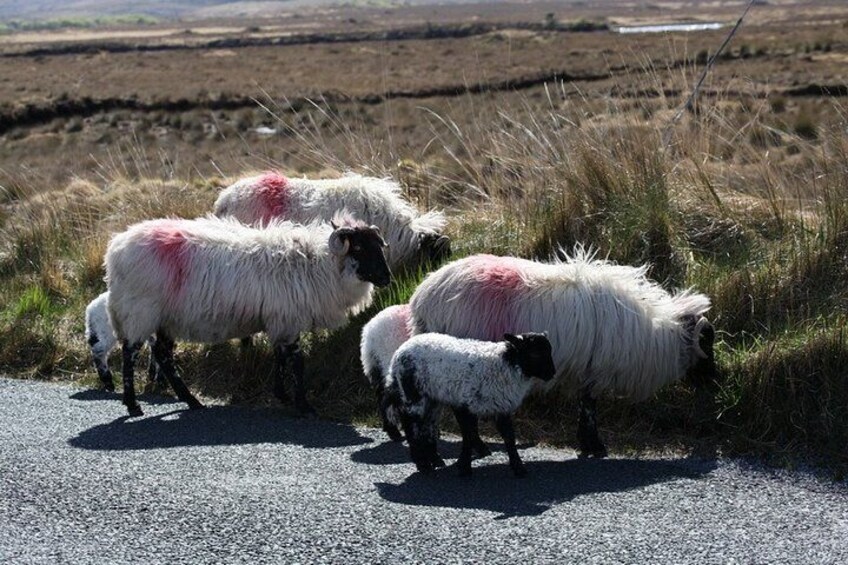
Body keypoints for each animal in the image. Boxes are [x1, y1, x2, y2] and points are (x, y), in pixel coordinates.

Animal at [103, 214, 390, 416]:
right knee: (130, 354)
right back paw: (133, 405)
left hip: (165, 318)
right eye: (359, 248)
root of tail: (115, 250)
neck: (317, 264)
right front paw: (303, 405)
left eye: (380, 245)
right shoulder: (288, 319)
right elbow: (297, 362)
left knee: (163, 356)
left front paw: (282, 395)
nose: (386, 278)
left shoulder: (281, 320)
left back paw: (191, 400)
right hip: (140, 311)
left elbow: (280, 358)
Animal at [386, 330, 556, 476]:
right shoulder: (465, 404)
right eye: (535, 353)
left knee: (427, 425)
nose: (552, 374)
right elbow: (468, 436)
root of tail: (398, 354)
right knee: (411, 425)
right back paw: (423, 464)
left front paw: (518, 468)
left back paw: (435, 460)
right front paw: (465, 468)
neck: (506, 364)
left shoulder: (501, 407)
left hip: (432, 399)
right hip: (413, 394)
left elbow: (508, 438)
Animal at [410, 250, 716, 458]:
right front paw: (596, 446)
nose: (712, 381)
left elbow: (585, 404)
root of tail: (425, 295)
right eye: (707, 343)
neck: (653, 332)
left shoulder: (587, 370)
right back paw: (478, 446)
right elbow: (590, 407)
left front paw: (587, 444)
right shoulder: (595, 369)